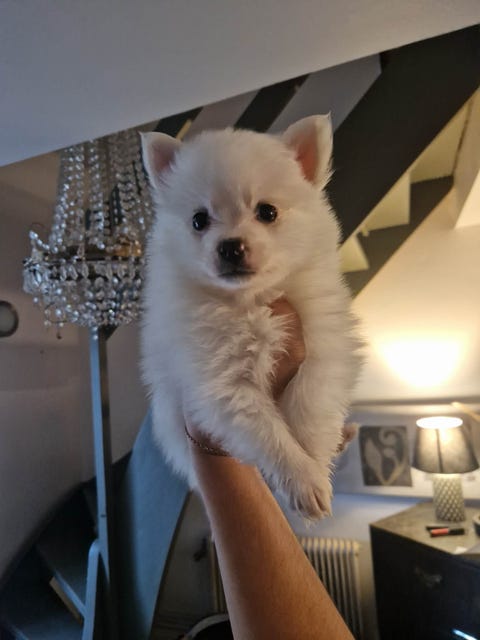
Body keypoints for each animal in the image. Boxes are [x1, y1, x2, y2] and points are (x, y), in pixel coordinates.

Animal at [140, 116, 362, 518]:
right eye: (199, 221)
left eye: (267, 212)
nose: (230, 247)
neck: (251, 302)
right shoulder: (223, 384)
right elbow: (270, 434)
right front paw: (304, 480)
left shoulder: (323, 350)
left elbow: (309, 403)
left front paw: (316, 462)